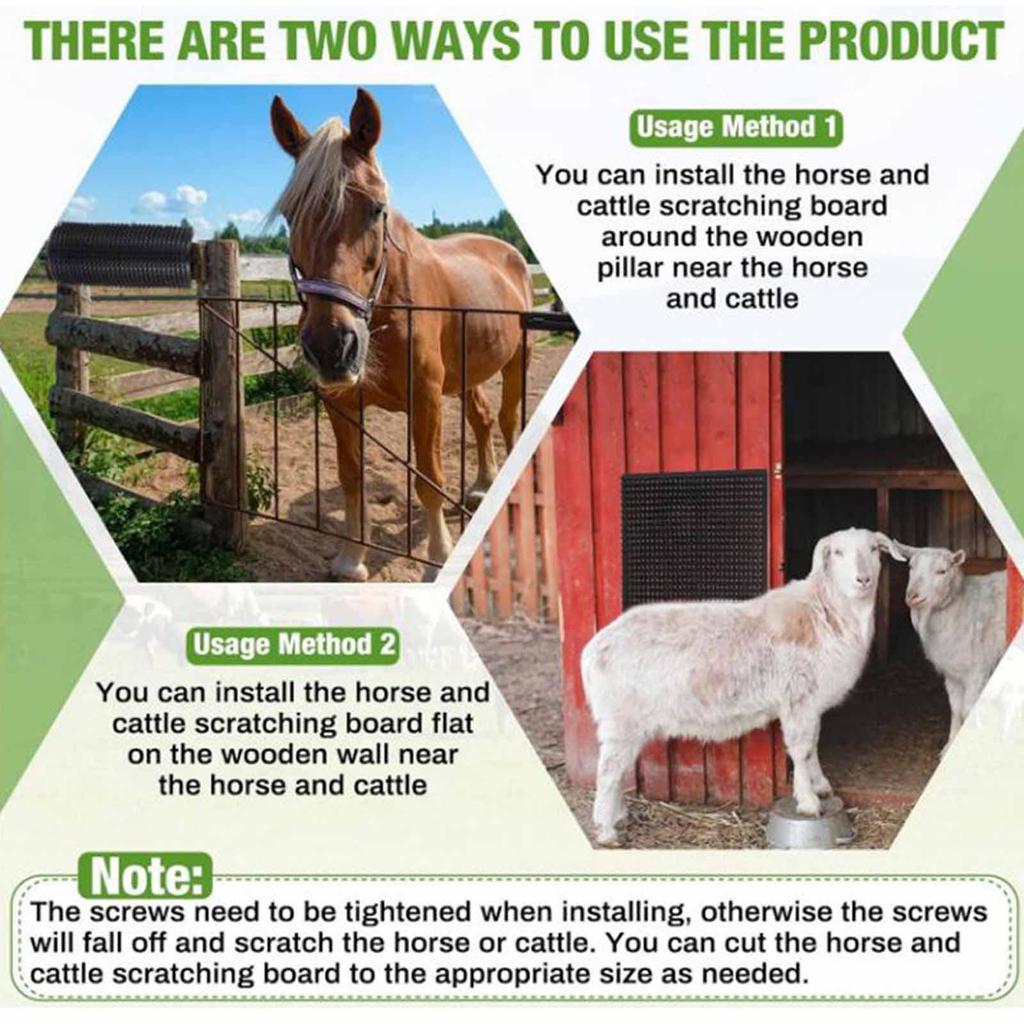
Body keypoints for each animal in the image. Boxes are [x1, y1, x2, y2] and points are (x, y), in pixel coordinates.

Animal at [269, 89, 533, 581]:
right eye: (291, 215)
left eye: (376, 209)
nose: (331, 348)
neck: (388, 306)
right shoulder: (342, 404)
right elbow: (351, 477)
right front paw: (352, 559)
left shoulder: (425, 398)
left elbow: (428, 478)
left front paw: (438, 559)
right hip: (467, 372)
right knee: (483, 418)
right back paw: (482, 485)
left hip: (515, 361)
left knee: (508, 421)